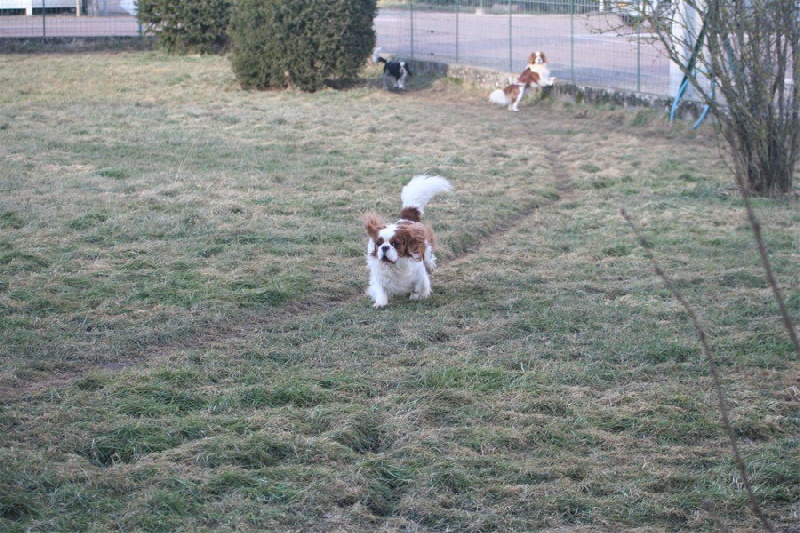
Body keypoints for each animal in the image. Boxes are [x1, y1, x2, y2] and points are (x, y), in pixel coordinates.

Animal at [364, 175, 454, 308]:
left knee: (429, 263)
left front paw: (415, 296)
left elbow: (418, 286)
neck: (395, 265)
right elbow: (380, 289)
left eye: (395, 244)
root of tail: (406, 219)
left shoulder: (419, 271)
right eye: (378, 243)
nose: (385, 247)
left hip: (427, 256)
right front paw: (380, 303)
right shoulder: (379, 275)